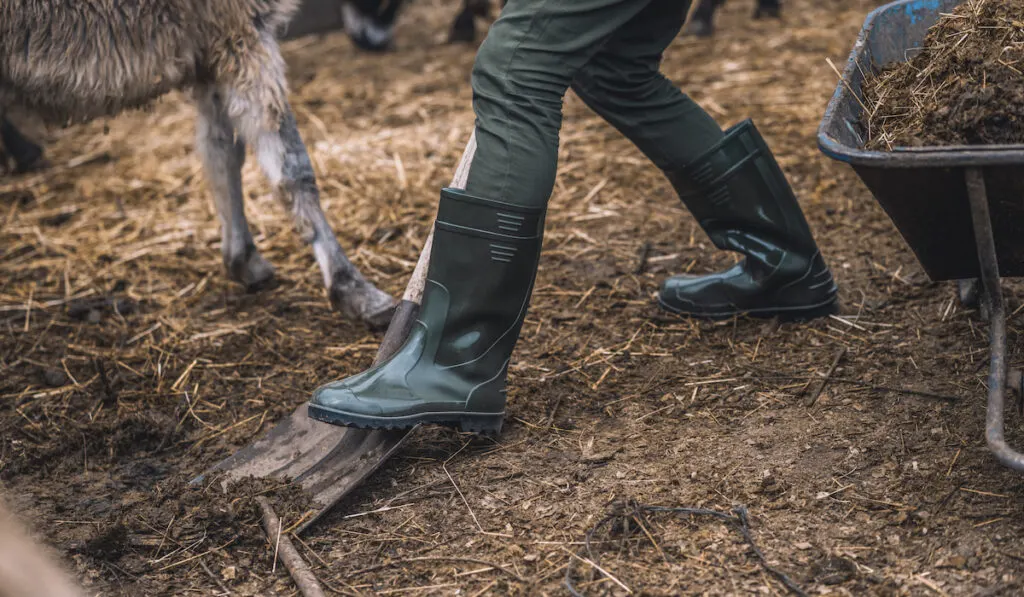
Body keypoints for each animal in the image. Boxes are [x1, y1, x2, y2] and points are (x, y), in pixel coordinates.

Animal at [0, 0, 395, 329]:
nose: (377, 42)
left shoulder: (209, 51)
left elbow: (221, 152)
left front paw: (242, 259)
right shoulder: (241, 30)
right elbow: (291, 167)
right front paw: (354, 291)